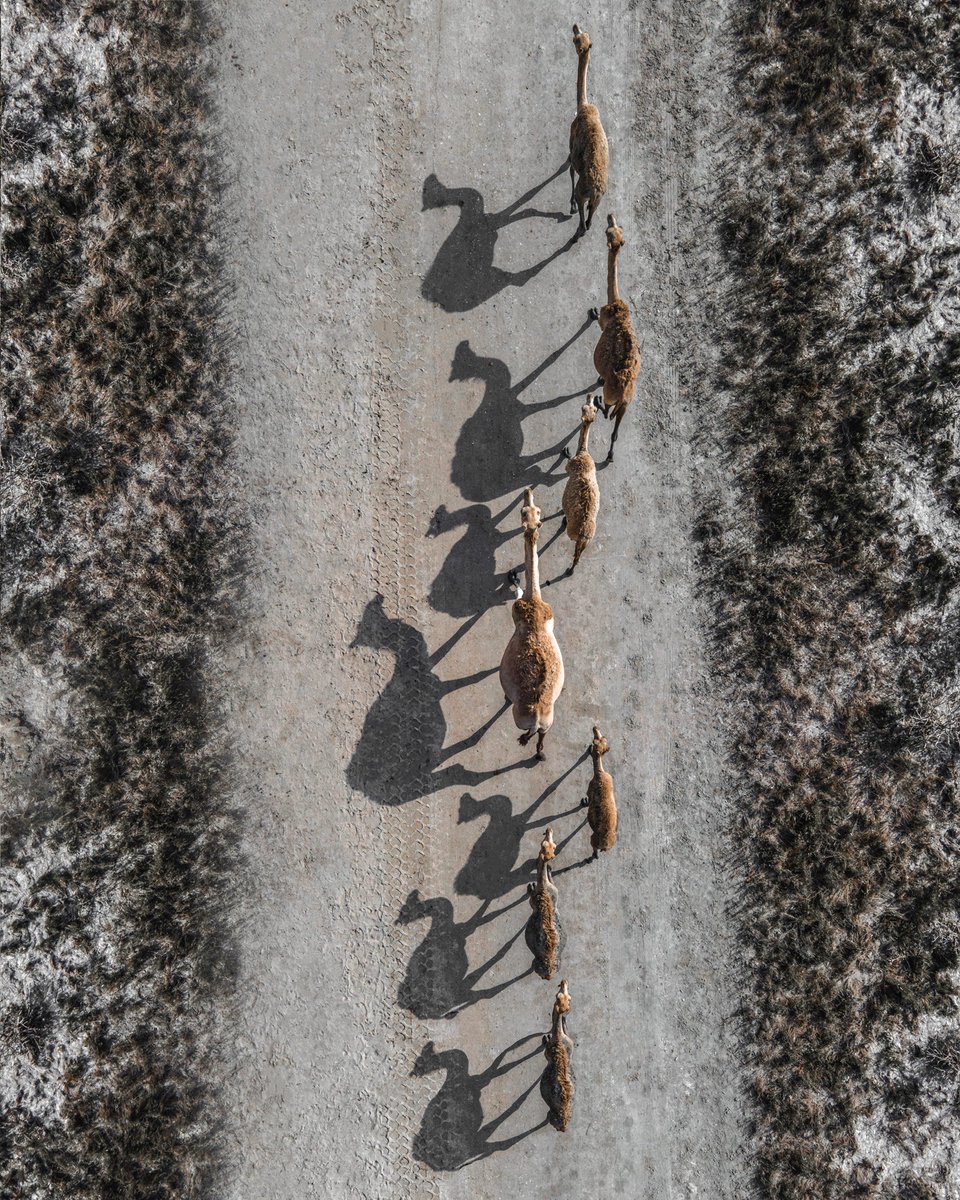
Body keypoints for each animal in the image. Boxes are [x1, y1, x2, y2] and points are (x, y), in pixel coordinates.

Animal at [554, 396, 601, 579]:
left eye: (583, 408)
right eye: (590, 407)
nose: (590, 395)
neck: (583, 452)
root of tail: (584, 533)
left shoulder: (569, 468)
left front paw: (565, 452)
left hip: (574, 534)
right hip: (587, 542)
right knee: (578, 557)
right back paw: (570, 570)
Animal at [582, 725, 617, 858]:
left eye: (594, 741)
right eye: (602, 739)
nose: (595, 727)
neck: (599, 773)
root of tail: (605, 846)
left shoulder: (589, 788)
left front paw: (584, 802)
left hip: (593, 840)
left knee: (594, 851)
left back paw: (591, 857)